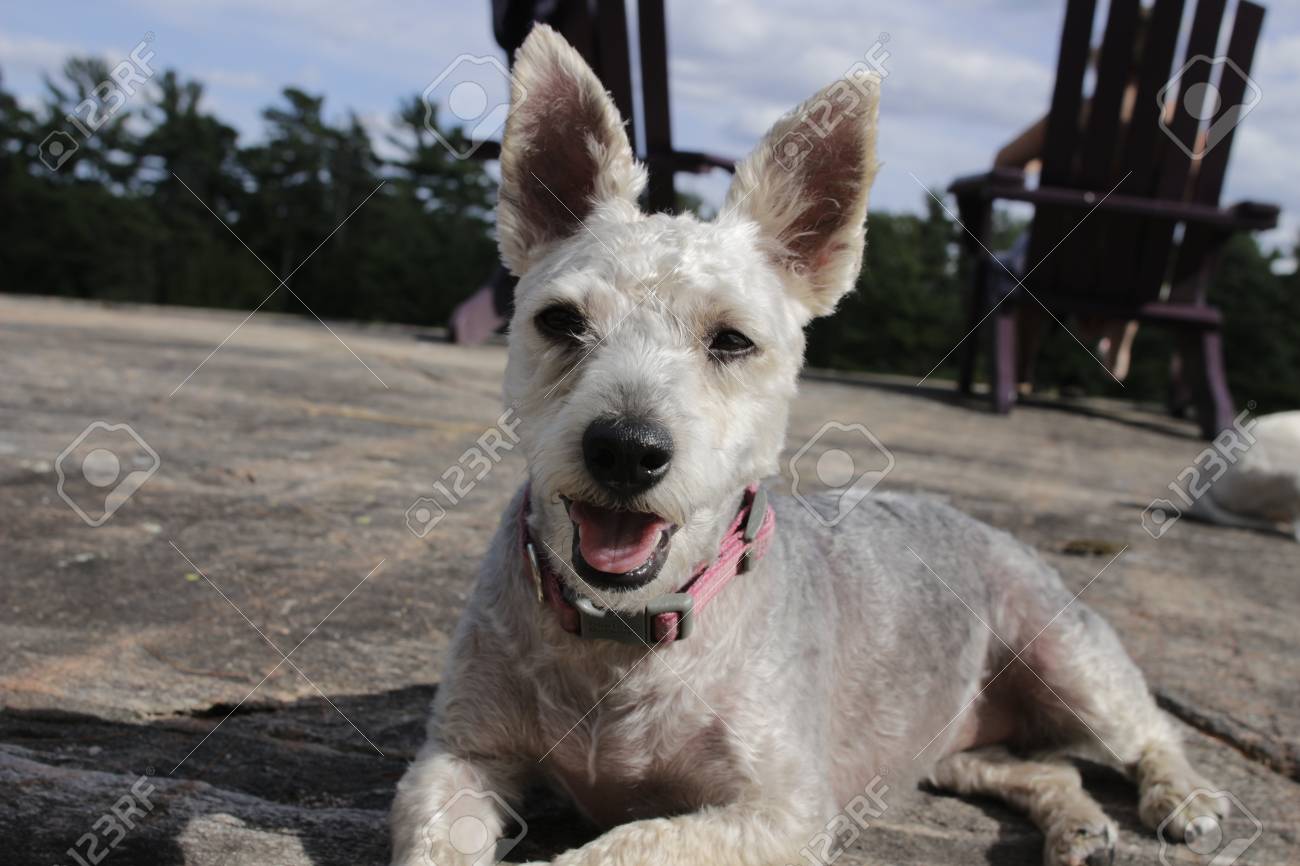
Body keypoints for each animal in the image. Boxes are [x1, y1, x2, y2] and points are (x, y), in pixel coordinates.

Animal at [392, 25, 1227, 863]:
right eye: (561, 322)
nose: (626, 449)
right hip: (952, 747)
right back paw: (1080, 828)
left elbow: (627, 844)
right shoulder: (458, 756)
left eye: (732, 340)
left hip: (1072, 662)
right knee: (1044, 769)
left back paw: (1185, 796)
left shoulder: (782, 809)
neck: (624, 631)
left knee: (1149, 730)